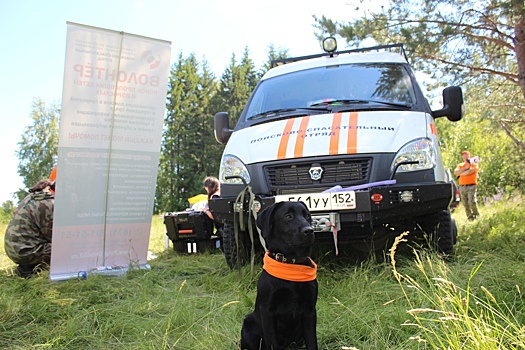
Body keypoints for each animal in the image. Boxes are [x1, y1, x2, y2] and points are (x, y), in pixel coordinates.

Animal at [239, 201, 318, 348]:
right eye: (288, 216)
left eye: (307, 215)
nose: (309, 230)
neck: (292, 263)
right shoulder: (267, 311)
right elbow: (272, 343)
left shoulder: (310, 310)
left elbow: (312, 342)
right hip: (249, 322)